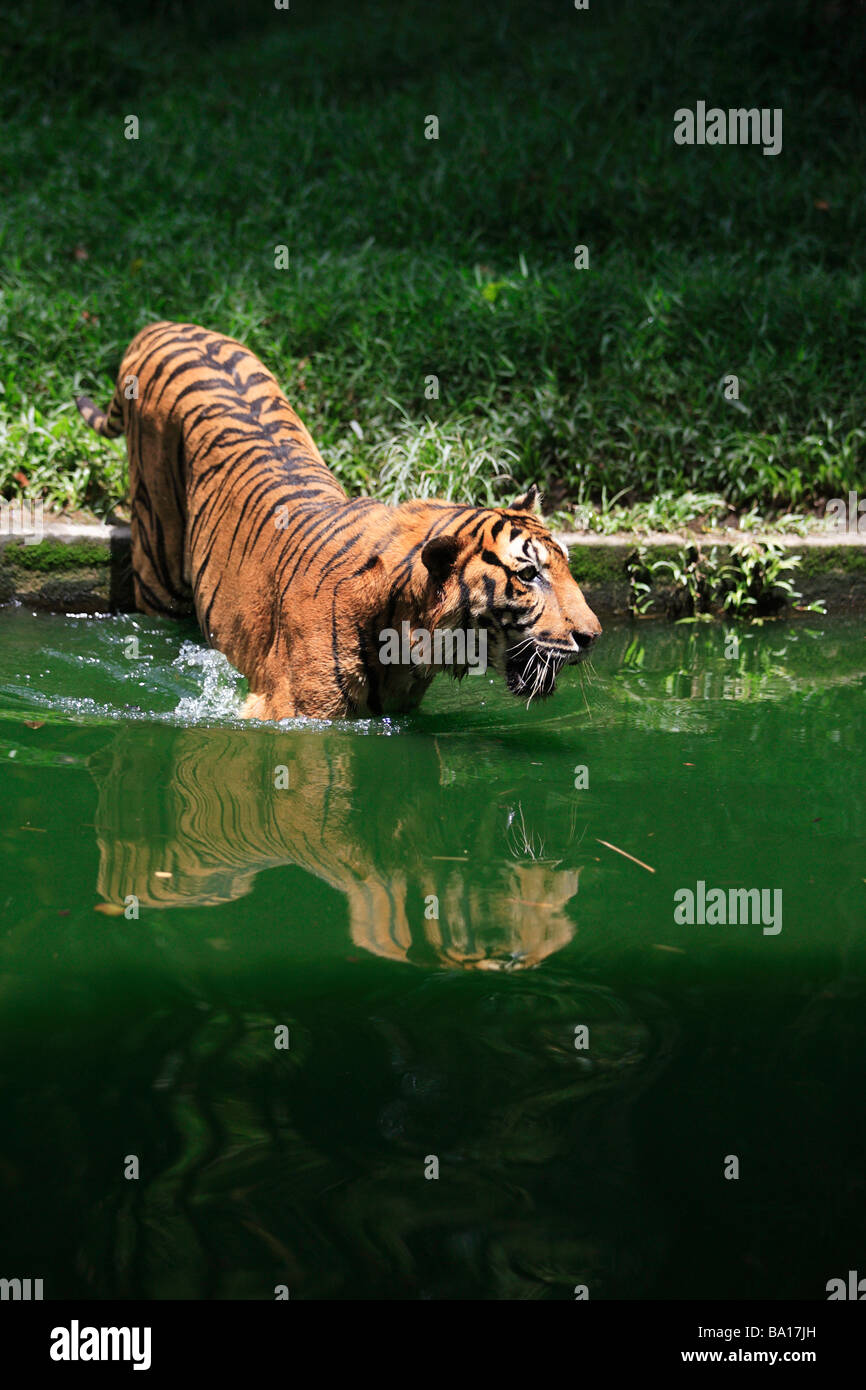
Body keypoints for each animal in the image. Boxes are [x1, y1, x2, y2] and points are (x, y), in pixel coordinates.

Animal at [76, 321, 603, 722]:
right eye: (528, 575)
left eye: (565, 566)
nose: (594, 637)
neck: (408, 634)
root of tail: (164, 326)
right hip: (159, 566)